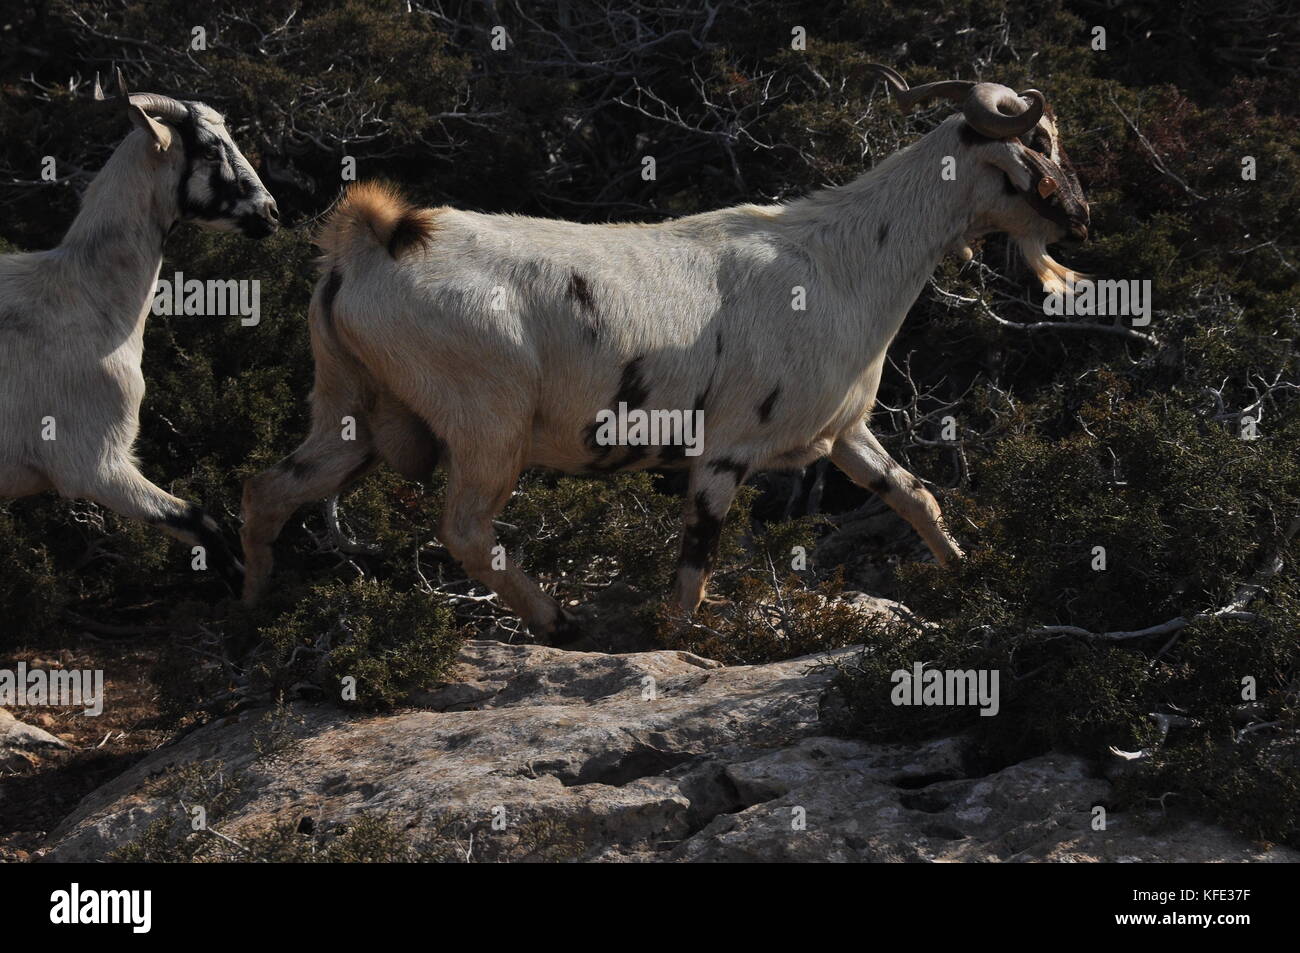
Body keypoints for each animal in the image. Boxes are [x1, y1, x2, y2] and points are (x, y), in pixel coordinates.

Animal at [0, 72, 279, 591]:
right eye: (210, 149)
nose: (270, 213)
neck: (88, 293)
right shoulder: (94, 464)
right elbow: (198, 520)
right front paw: (248, 594)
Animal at [241, 64, 1089, 643]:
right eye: (1039, 142)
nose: (1080, 218)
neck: (844, 259)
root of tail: (368, 245)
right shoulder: (726, 448)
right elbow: (692, 573)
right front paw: (678, 642)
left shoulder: (843, 431)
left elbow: (916, 495)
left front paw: (969, 574)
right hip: (489, 423)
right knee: (467, 531)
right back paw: (558, 619)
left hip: (351, 407)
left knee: (270, 490)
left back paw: (252, 613)